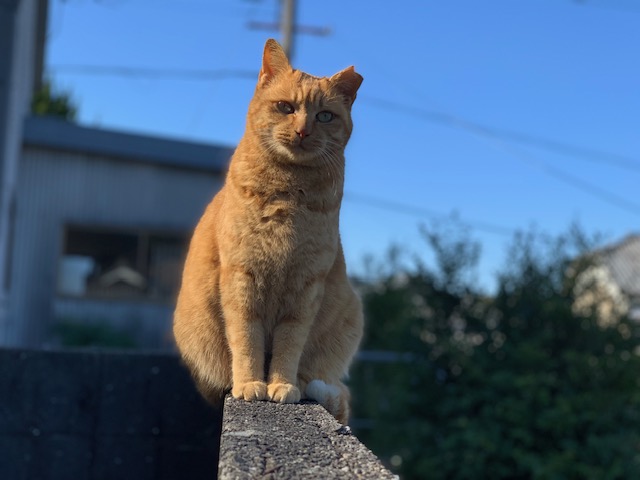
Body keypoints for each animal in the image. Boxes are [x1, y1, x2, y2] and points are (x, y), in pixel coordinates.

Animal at [172, 40, 362, 424]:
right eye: (285, 107)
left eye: (324, 116)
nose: (303, 131)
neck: (288, 193)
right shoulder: (240, 278)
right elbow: (246, 339)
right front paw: (249, 384)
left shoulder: (305, 288)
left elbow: (290, 345)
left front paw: (282, 385)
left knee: (326, 384)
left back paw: (304, 385)